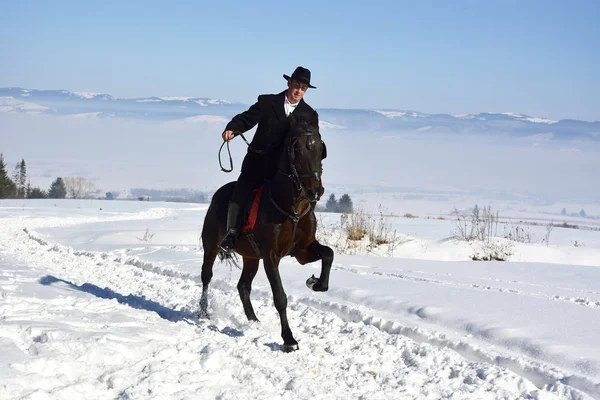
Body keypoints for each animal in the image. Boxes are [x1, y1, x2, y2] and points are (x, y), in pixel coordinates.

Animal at [200, 111, 332, 352]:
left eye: (320, 148)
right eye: (296, 148)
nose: (316, 191)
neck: (291, 206)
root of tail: (218, 195)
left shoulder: (303, 250)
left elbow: (328, 254)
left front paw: (315, 283)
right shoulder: (271, 256)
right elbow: (280, 297)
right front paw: (289, 340)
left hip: (251, 257)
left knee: (243, 286)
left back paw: (253, 320)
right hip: (211, 245)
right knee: (206, 275)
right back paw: (203, 311)